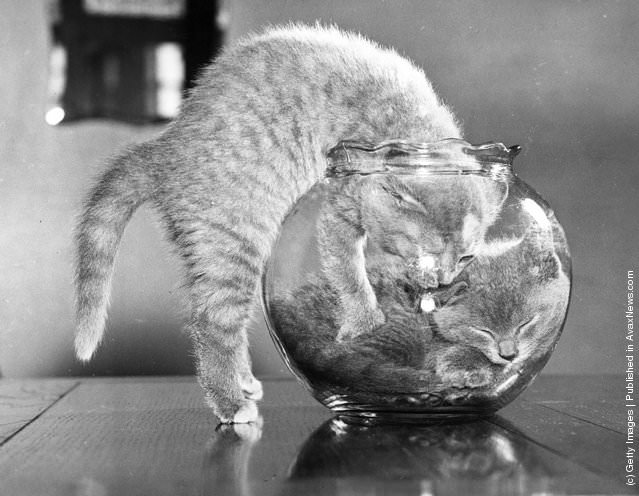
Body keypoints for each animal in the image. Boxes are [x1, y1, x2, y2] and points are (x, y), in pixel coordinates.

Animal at [75, 23, 478, 424]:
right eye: (429, 253)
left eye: (466, 258)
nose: (444, 279)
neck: (405, 127)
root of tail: (165, 150)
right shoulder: (340, 202)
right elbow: (347, 268)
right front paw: (364, 321)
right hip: (233, 242)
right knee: (212, 323)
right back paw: (230, 402)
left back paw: (243, 381)